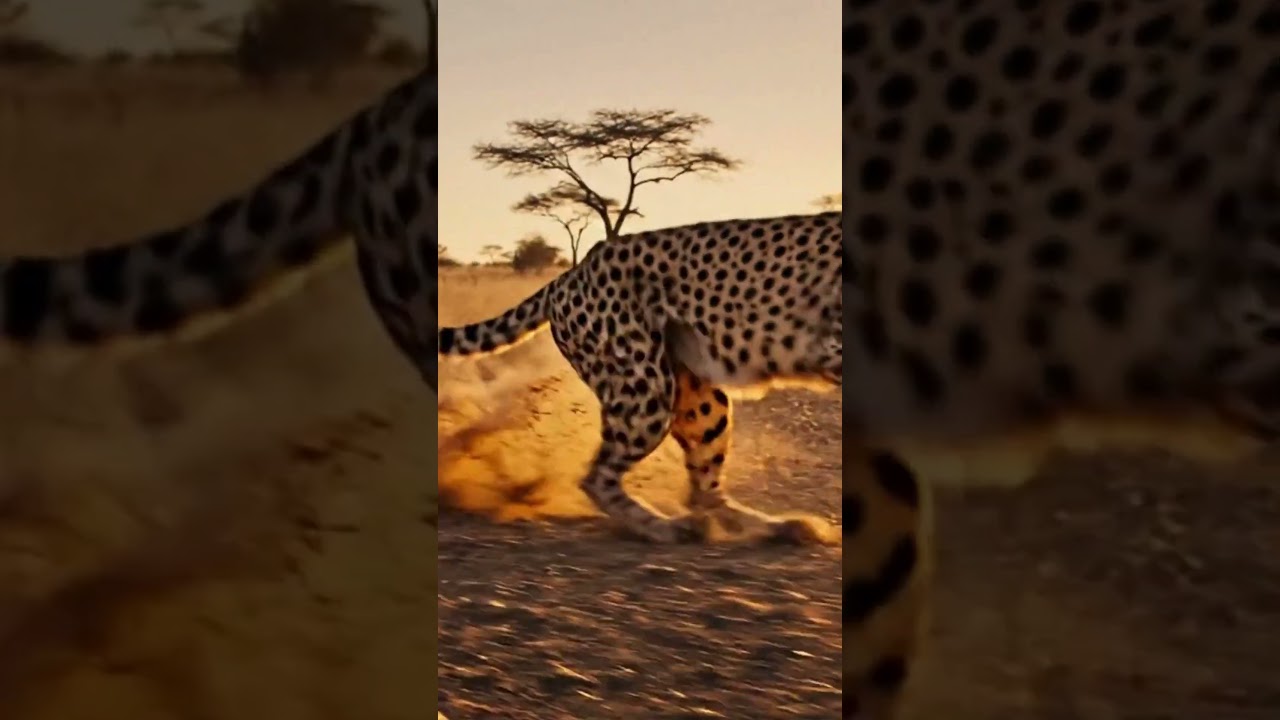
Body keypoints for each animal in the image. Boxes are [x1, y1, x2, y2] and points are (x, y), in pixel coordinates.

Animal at [437, 210, 844, 545]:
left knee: (704, 492)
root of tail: (573, 271)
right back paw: (665, 528)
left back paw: (785, 528)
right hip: (646, 393)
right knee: (598, 478)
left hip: (693, 398)